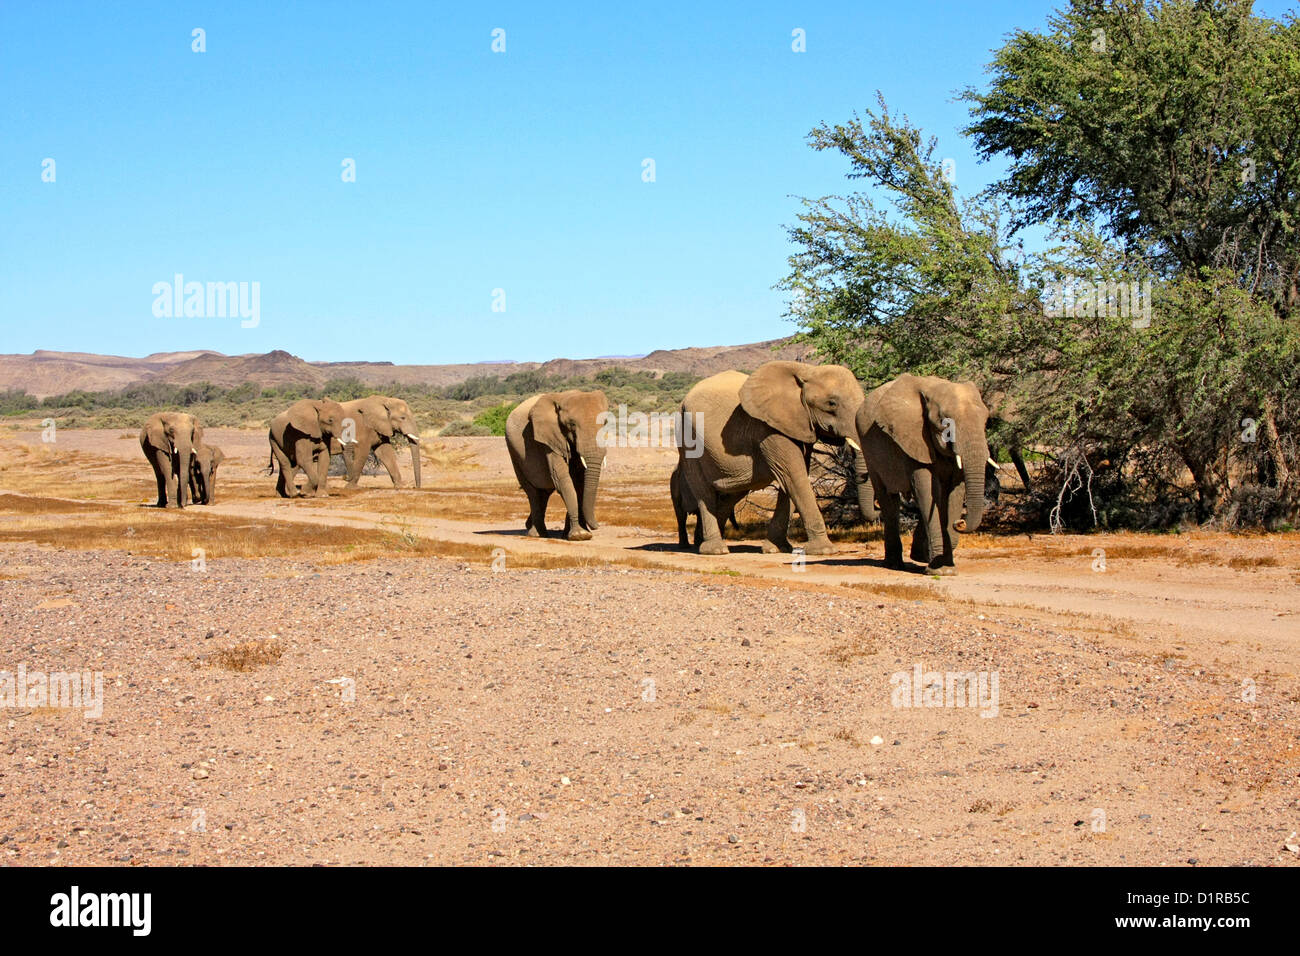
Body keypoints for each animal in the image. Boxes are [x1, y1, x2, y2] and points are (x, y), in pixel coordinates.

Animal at [506, 390, 608, 538]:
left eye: (605, 423)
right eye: (572, 424)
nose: (596, 526)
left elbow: (580, 481)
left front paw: (575, 533)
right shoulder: (549, 439)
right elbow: (562, 479)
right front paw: (579, 535)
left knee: (544, 492)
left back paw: (531, 527)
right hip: (513, 451)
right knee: (532, 492)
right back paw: (537, 534)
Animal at [676, 358, 868, 554]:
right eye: (831, 403)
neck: (806, 371)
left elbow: (791, 479)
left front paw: (776, 548)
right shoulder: (768, 428)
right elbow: (793, 477)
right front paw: (824, 551)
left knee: (730, 495)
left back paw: (703, 542)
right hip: (687, 439)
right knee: (703, 492)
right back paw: (715, 550)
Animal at [857, 374, 987, 572]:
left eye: (986, 419)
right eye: (945, 423)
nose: (961, 522)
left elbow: (954, 494)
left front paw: (946, 568)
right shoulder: (914, 438)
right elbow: (926, 490)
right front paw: (939, 570)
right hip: (868, 450)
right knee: (889, 500)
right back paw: (895, 565)